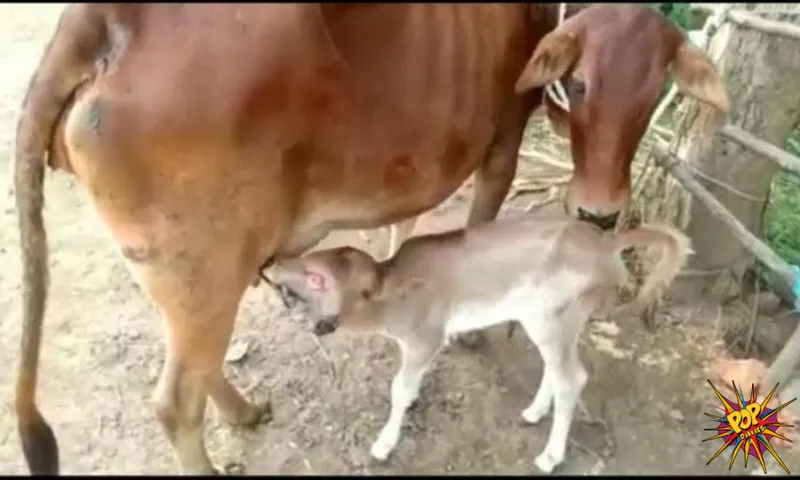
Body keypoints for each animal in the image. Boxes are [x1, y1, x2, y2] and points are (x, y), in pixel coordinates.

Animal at [266, 210, 692, 472]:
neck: (391, 300)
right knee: (558, 371)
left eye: (318, 278)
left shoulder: (425, 338)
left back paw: (550, 456)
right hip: (557, 320)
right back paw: (534, 412)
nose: (271, 262)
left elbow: (399, 388)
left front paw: (384, 445)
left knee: (574, 378)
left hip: (552, 316)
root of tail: (609, 245)